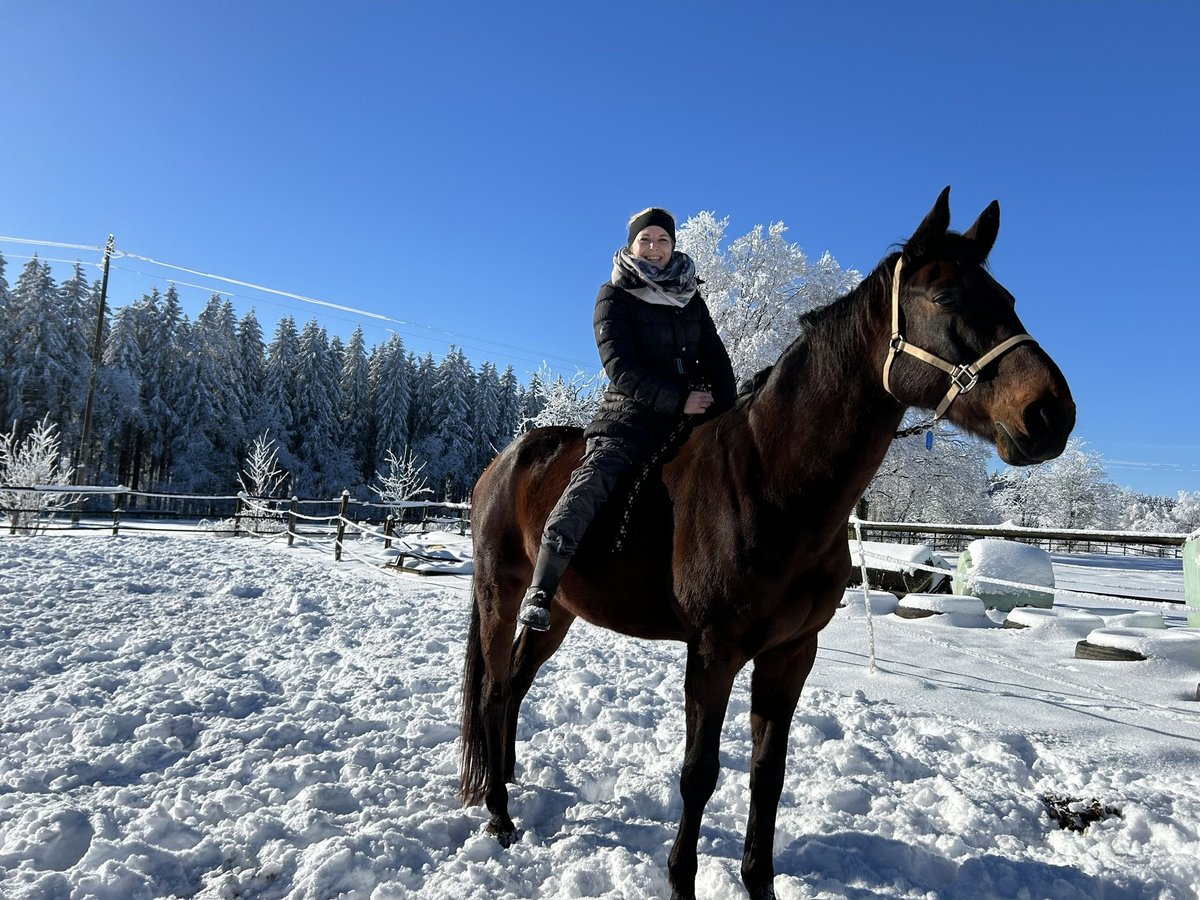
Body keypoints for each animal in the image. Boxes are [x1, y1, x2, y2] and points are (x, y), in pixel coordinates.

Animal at [458, 187, 1080, 897]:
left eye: (1006, 296)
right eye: (947, 296)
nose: (1051, 413)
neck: (770, 482)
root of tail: (504, 463)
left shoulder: (790, 655)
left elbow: (768, 775)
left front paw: (758, 881)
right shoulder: (713, 654)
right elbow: (698, 775)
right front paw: (681, 879)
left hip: (560, 609)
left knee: (514, 687)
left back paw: (505, 786)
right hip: (502, 592)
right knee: (495, 690)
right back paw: (499, 814)